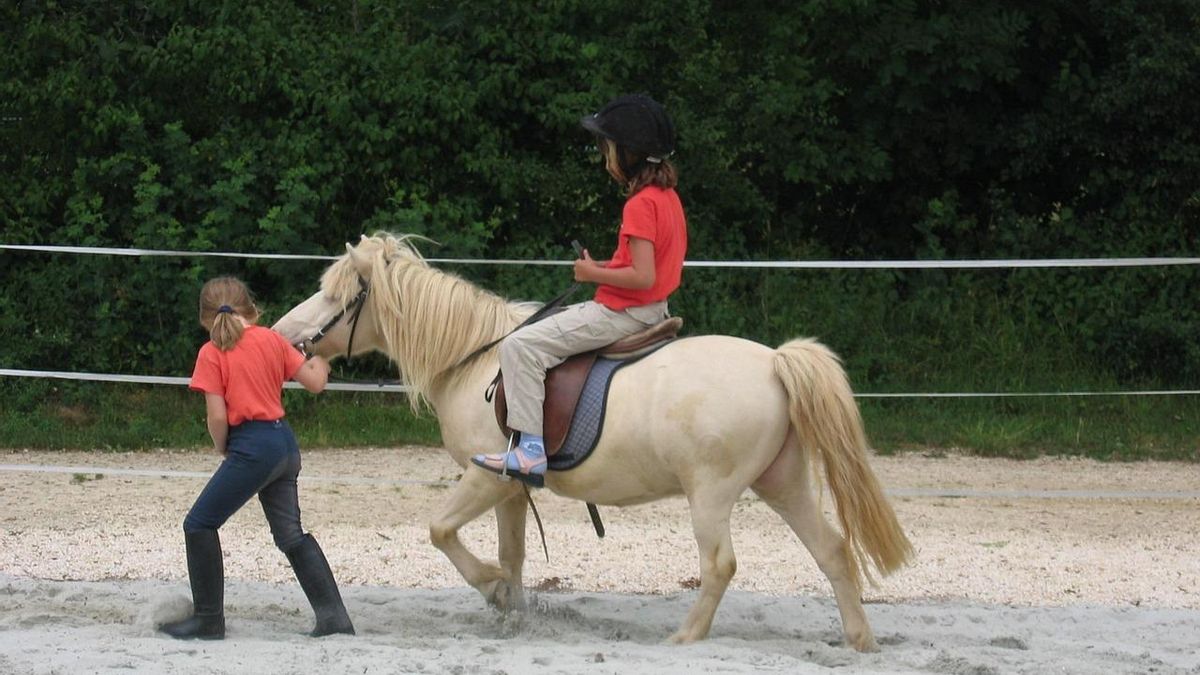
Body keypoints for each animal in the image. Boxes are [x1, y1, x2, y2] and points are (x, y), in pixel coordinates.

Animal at [272, 233, 914, 651]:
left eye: (335, 296)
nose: (282, 333)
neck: (476, 357)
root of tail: (775, 362)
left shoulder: (485, 476)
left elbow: (441, 531)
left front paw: (491, 590)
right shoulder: (510, 488)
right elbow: (513, 554)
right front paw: (512, 611)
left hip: (711, 494)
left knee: (720, 564)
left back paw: (686, 638)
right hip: (782, 482)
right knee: (831, 551)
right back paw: (859, 641)